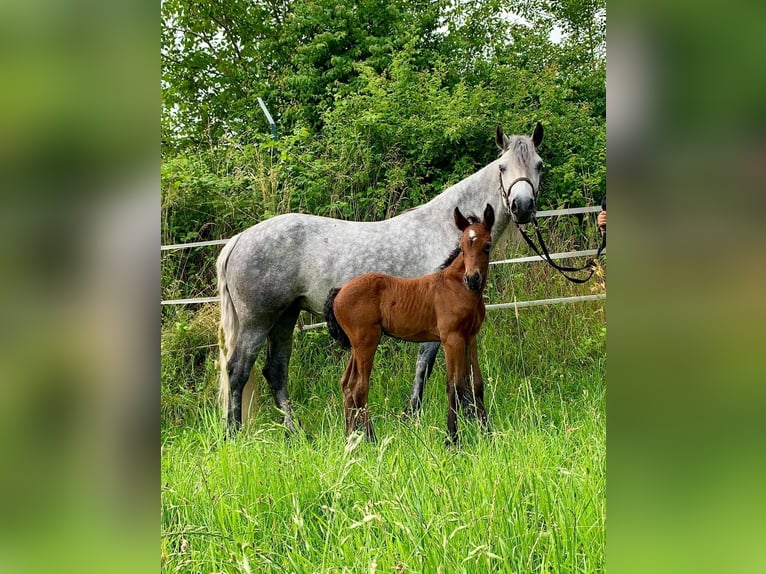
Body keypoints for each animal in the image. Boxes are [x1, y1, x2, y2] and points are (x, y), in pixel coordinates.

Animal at [326, 205, 498, 448]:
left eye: (487, 245)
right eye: (462, 247)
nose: (472, 279)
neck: (458, 288)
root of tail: (339, 290)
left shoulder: (470, 337)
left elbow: (476, 385)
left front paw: (488, 434)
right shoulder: (451, 338)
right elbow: (454, 386)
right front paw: (452, 440)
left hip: (356, 345)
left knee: (347, 384)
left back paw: (350, 438)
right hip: (367, 341)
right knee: (359, 387)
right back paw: (371, 439)